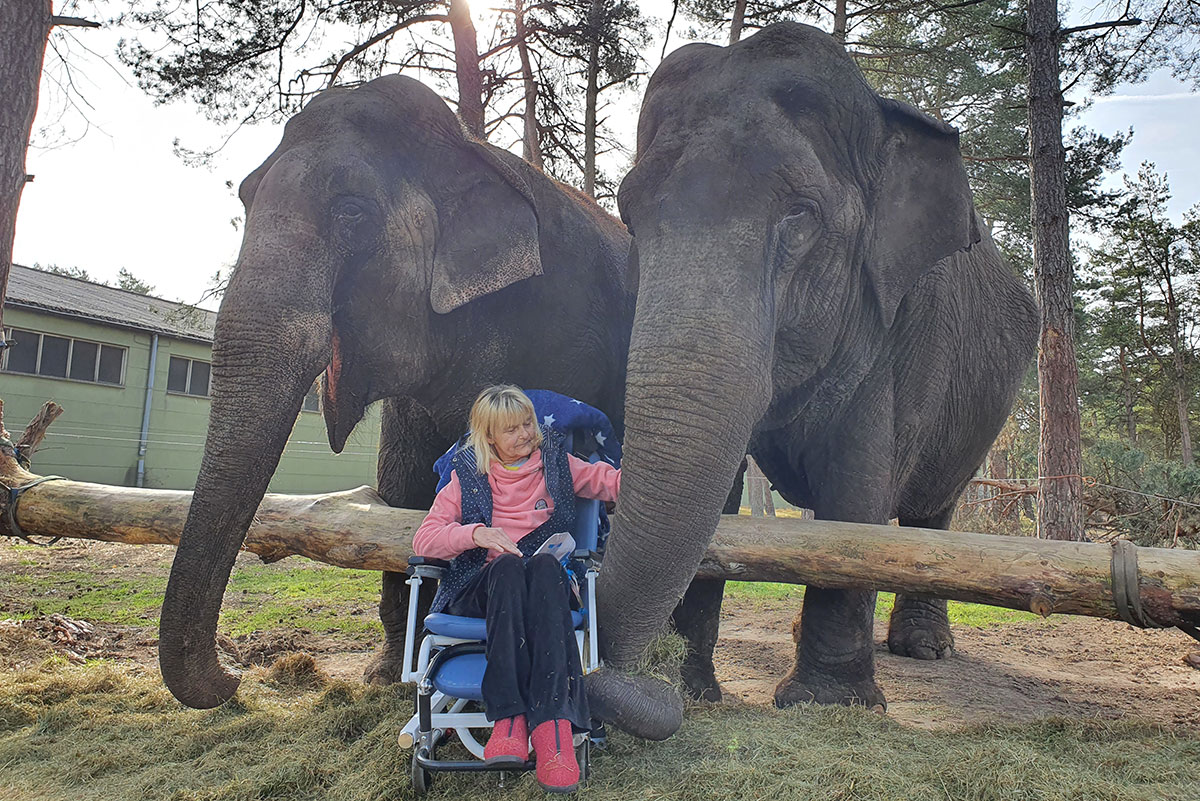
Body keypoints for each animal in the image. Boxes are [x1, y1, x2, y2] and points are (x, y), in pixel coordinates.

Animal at [159, 73, 643, 705]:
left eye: (351, 212)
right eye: (244, 196)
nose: (234, 676)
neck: (465, 149)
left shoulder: (560, 324)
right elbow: (405, 486)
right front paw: (387, 674)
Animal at [590, 20, 1041, 733]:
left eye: (801, 214)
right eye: (628, 215)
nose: (626, 678)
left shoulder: (903, 324)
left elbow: (856, 489)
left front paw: (828, 703)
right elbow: (723, 496)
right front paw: (691, 690)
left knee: (933, 510)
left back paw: (924, 649)